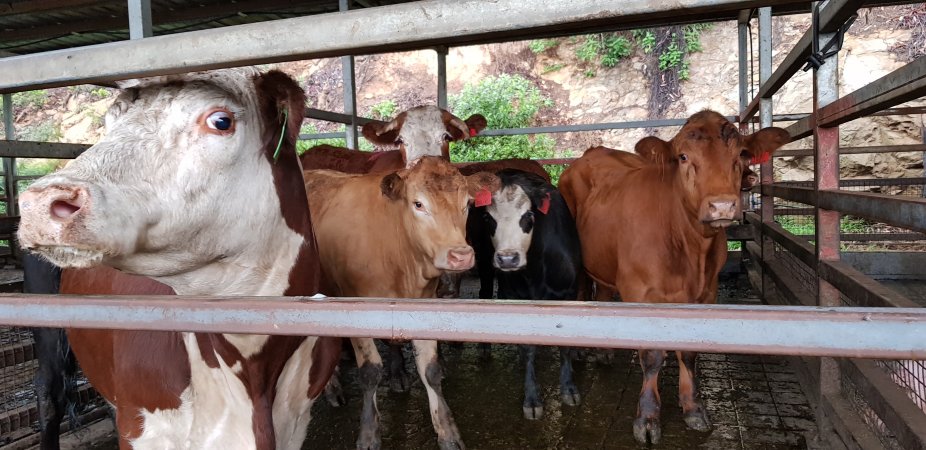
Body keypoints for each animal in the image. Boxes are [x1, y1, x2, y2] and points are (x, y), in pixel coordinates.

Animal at [16, 67, 340, 450]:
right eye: (110, 125)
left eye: (220, 121)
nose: (39, 201)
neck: (252, 368)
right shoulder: (140, 427)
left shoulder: (296, 422)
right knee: (49, 393)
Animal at [306, 156, 500, 450]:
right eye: (418, 204)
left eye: (467, 203)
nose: (460, 255)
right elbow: (370, 372)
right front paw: (369, 433)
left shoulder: (424, 305)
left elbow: (431, 370)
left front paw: (448, 432)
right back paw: (333, 389)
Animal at [468, 169, 584, 418]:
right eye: (488, 218)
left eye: (529, 215)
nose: (508, 258)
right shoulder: (519, 297)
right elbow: (529, 346)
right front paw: (531, 398)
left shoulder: (569, 293)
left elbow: (565, 344)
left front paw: (569, 388)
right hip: (484, 262)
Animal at [560, 110, 792, 444]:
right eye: (683, 157)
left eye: (741, 155)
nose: (722, 205)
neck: (689, 246)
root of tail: (592, 152)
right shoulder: (639, 293)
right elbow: (652, 356)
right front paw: (647, 417)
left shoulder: (706, 294)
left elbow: (689, 351)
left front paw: (693, 407)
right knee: (581, 293)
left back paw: (604, 352)